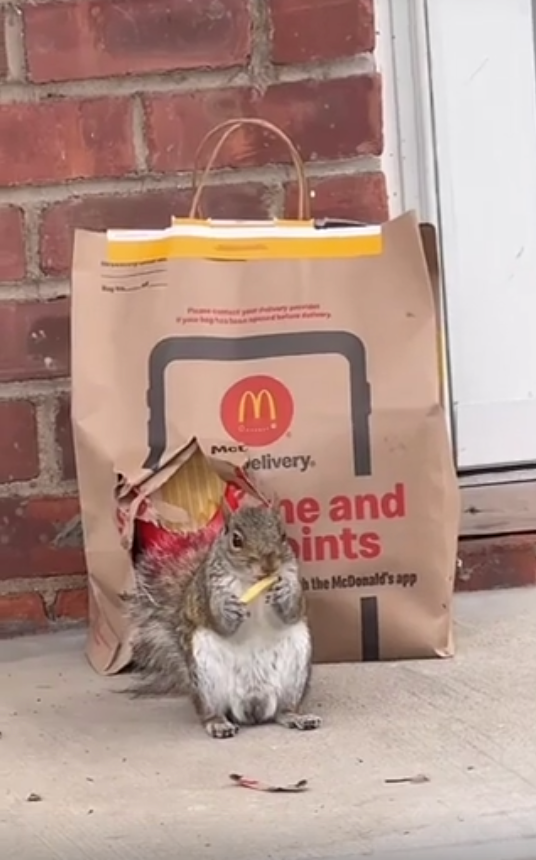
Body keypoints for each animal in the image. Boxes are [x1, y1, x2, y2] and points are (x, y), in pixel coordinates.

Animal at [123, 501, 322, 740]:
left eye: (283, 535)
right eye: (236, 540)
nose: (269, 565)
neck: (252, 581)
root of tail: (252, 705)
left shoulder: (292, 575)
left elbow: (295, 610)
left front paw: (285, 592)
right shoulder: (209, 588)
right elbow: (219, 622)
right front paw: (227, 609)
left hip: (295, 672)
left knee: (282, 710)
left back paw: (297, 717)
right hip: (206, 679)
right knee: (210, 712)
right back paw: (218, 724)